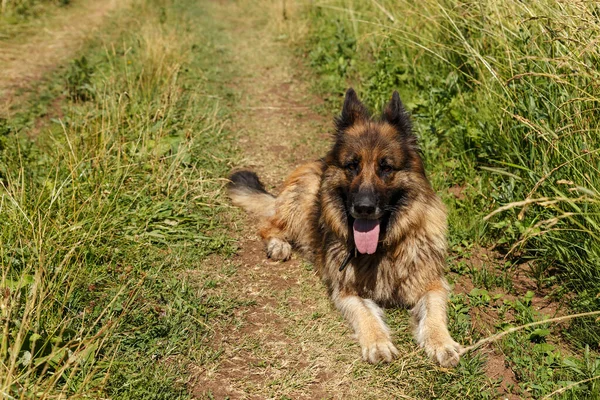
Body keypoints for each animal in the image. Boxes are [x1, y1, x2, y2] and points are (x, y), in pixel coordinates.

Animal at [227, 89, 462, 368]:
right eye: (352, 166)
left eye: (386, 167)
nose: (364, 207)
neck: (384, 247)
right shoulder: (347, 291)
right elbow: (365, 315)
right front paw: (378, 342)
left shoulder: (431, 283)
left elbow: (435, 310)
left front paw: (441, 342)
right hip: (302, 200)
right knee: (269, 225)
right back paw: (278, 244)